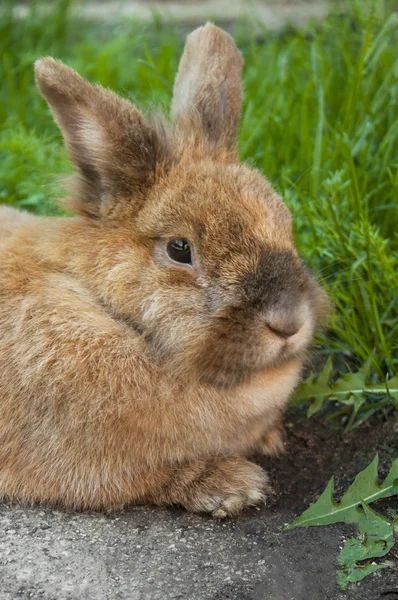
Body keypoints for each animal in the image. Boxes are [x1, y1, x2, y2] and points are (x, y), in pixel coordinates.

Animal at [0, 23, 328, 516]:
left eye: (285, 223)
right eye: (179, 249)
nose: (289, 322)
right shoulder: (93, 471)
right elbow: (150, 479)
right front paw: (234, 485)